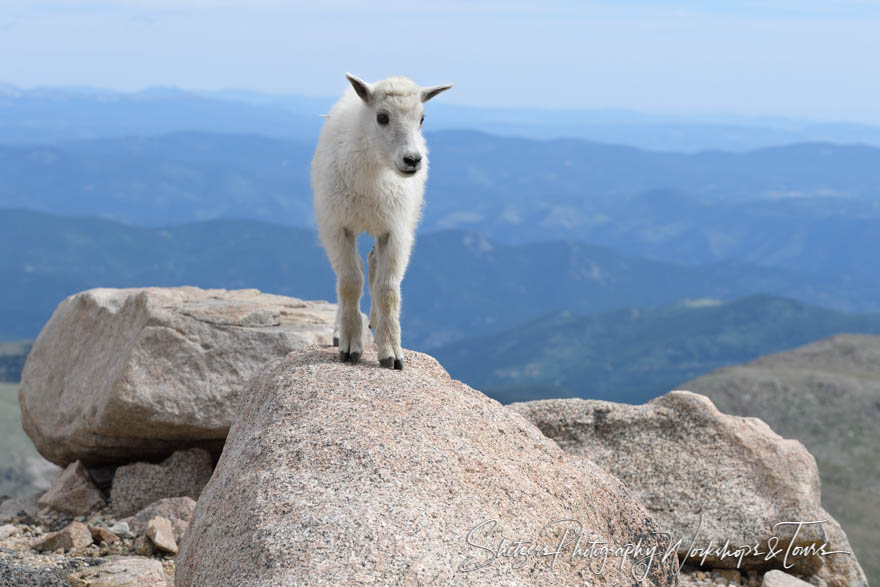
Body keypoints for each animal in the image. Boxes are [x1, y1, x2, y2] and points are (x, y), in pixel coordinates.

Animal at [312, 72, 454, 368]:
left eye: (422, 118)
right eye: (382, 117)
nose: (412, 160)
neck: (372, 175)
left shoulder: (395, 231)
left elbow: (388, 289)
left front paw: (391, 354)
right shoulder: (338, 227)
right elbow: (349, 282)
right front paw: (350, 347)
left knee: (373, 263)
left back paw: (376, 326)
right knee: (353, 271)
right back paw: (340, 331)